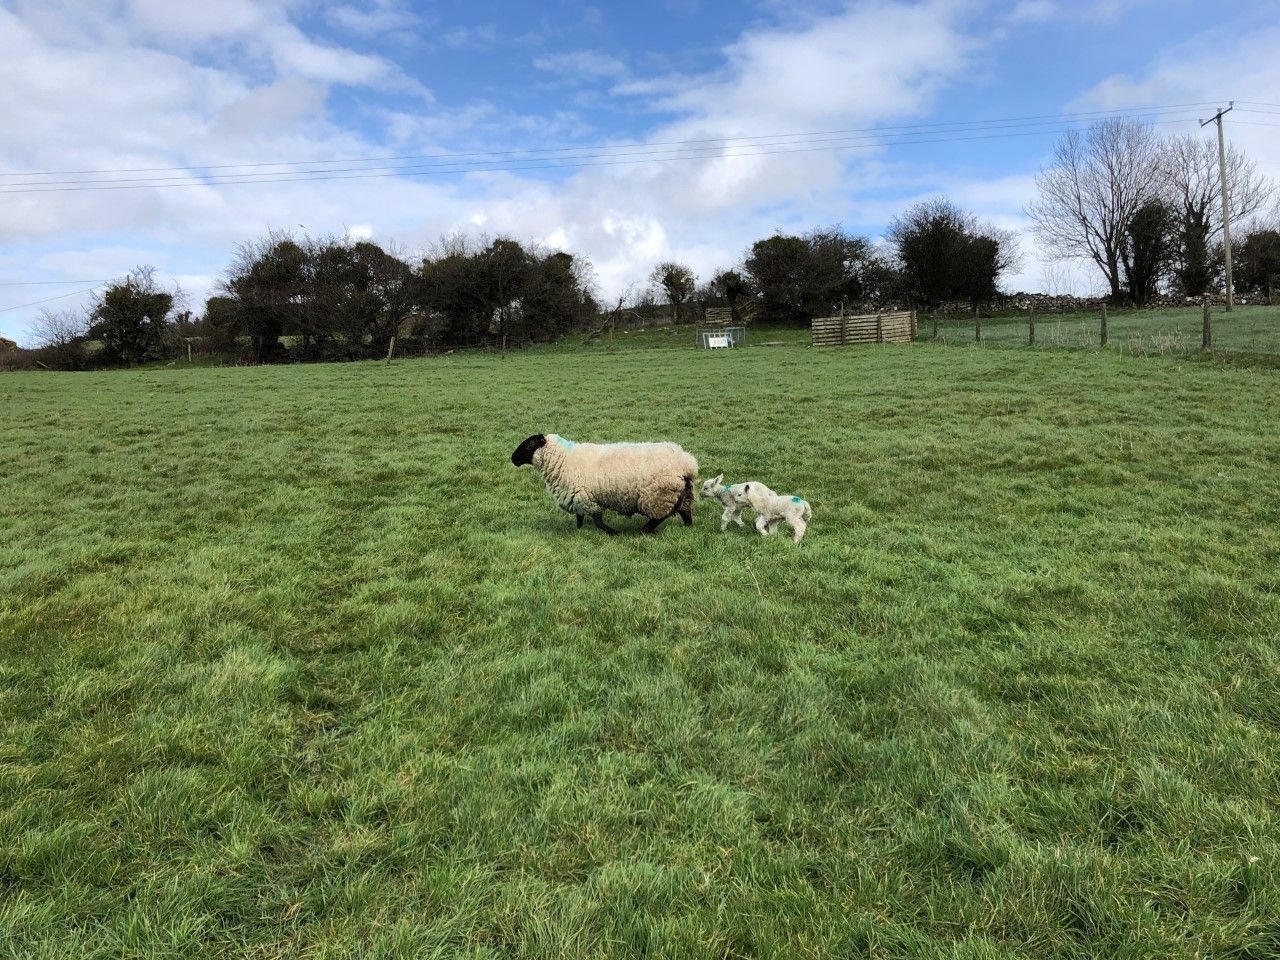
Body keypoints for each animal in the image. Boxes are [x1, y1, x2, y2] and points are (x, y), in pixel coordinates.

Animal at [511, 433, 698, 535]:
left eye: (528, 445)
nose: (512, 458)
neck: (564, 458)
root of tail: (687, 462)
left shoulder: (586, 498)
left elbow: (597, 521)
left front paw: (613, 532)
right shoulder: (579, 498)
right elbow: (580, 518)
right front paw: (579, 530)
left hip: (658, 495)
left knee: (660, 516)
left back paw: (644, 530)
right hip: (680, 493)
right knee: (685, 510)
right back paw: (688, 527)